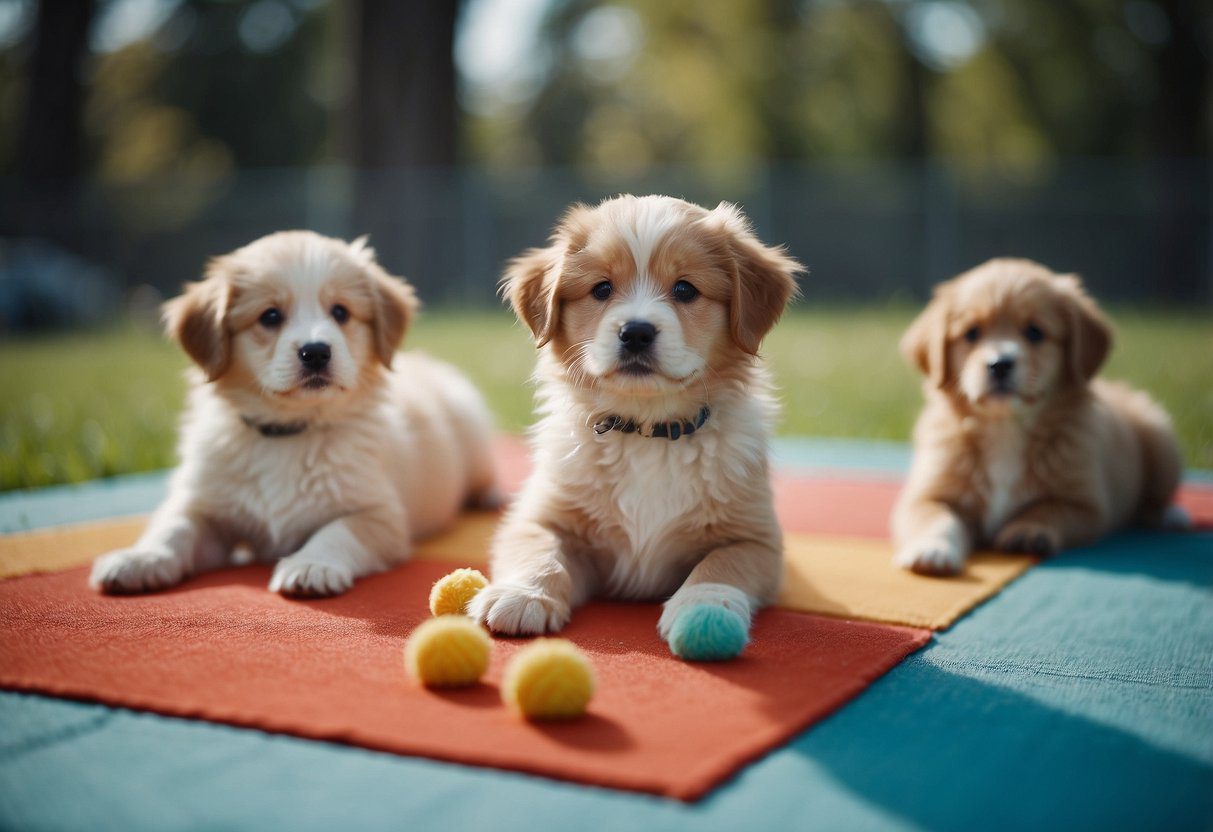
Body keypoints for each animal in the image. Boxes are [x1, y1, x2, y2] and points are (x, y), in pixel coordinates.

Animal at [88, 229, 497, 599]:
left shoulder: (379, 514)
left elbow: (335, 531)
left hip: (474, 433)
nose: (316, 352)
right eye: (270, 316)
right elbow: (172, 527)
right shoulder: (204, 503)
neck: (289, 432)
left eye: (340, 312)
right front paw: (139, 559)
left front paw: (312, 564)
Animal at [468, 195, 800, 664]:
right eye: (602, 289)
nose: (636, 332)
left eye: (685, 290)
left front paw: (704, 609)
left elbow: (721, 566)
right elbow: (538, 550)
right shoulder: (542, 516)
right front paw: (522, 594)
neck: (648, 432)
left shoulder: (755, 540)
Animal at [892, 257, 1183, 577]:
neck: (1005, 431)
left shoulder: (1086, 505)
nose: (999, 364)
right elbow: (935, 518)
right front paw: (932, 550)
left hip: (1161, 439)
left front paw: (1029, 532)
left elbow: (1048, 509)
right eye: (972, 333)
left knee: (1158, 496)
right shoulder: (926, 494)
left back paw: (1171, 515)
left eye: (1034, 332)